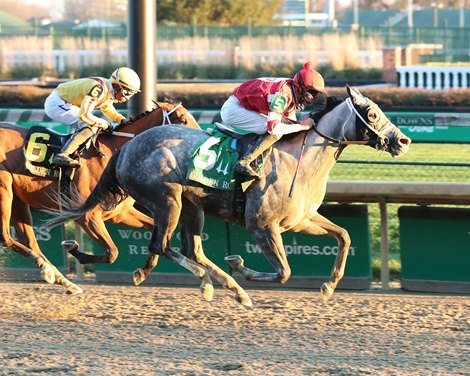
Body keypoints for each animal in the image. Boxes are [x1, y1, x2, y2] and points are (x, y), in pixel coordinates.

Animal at [0, 101, 198, 296]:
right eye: (182, 120)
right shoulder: (87, 216)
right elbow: (113, 253)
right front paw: (73, 248)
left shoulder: (120, 214)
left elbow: (153, 232)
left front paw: (143, 272)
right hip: (4, 191)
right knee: (6, 237)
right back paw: (49, 271)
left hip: (17, 200)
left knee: (29, 241)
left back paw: (61, 279)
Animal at [46, 87, 410, 306]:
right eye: (372, 114)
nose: (403, 141)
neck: (299, 160)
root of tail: (127, 147)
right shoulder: (262, 227)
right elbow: (284, 272)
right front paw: (241, 265)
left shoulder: (302, 220)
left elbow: (345, 236)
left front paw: (329, 285)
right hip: (168, 200)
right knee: (162, 245)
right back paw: (208, 281)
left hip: (191, 207)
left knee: (189, 248)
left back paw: (230, 289)